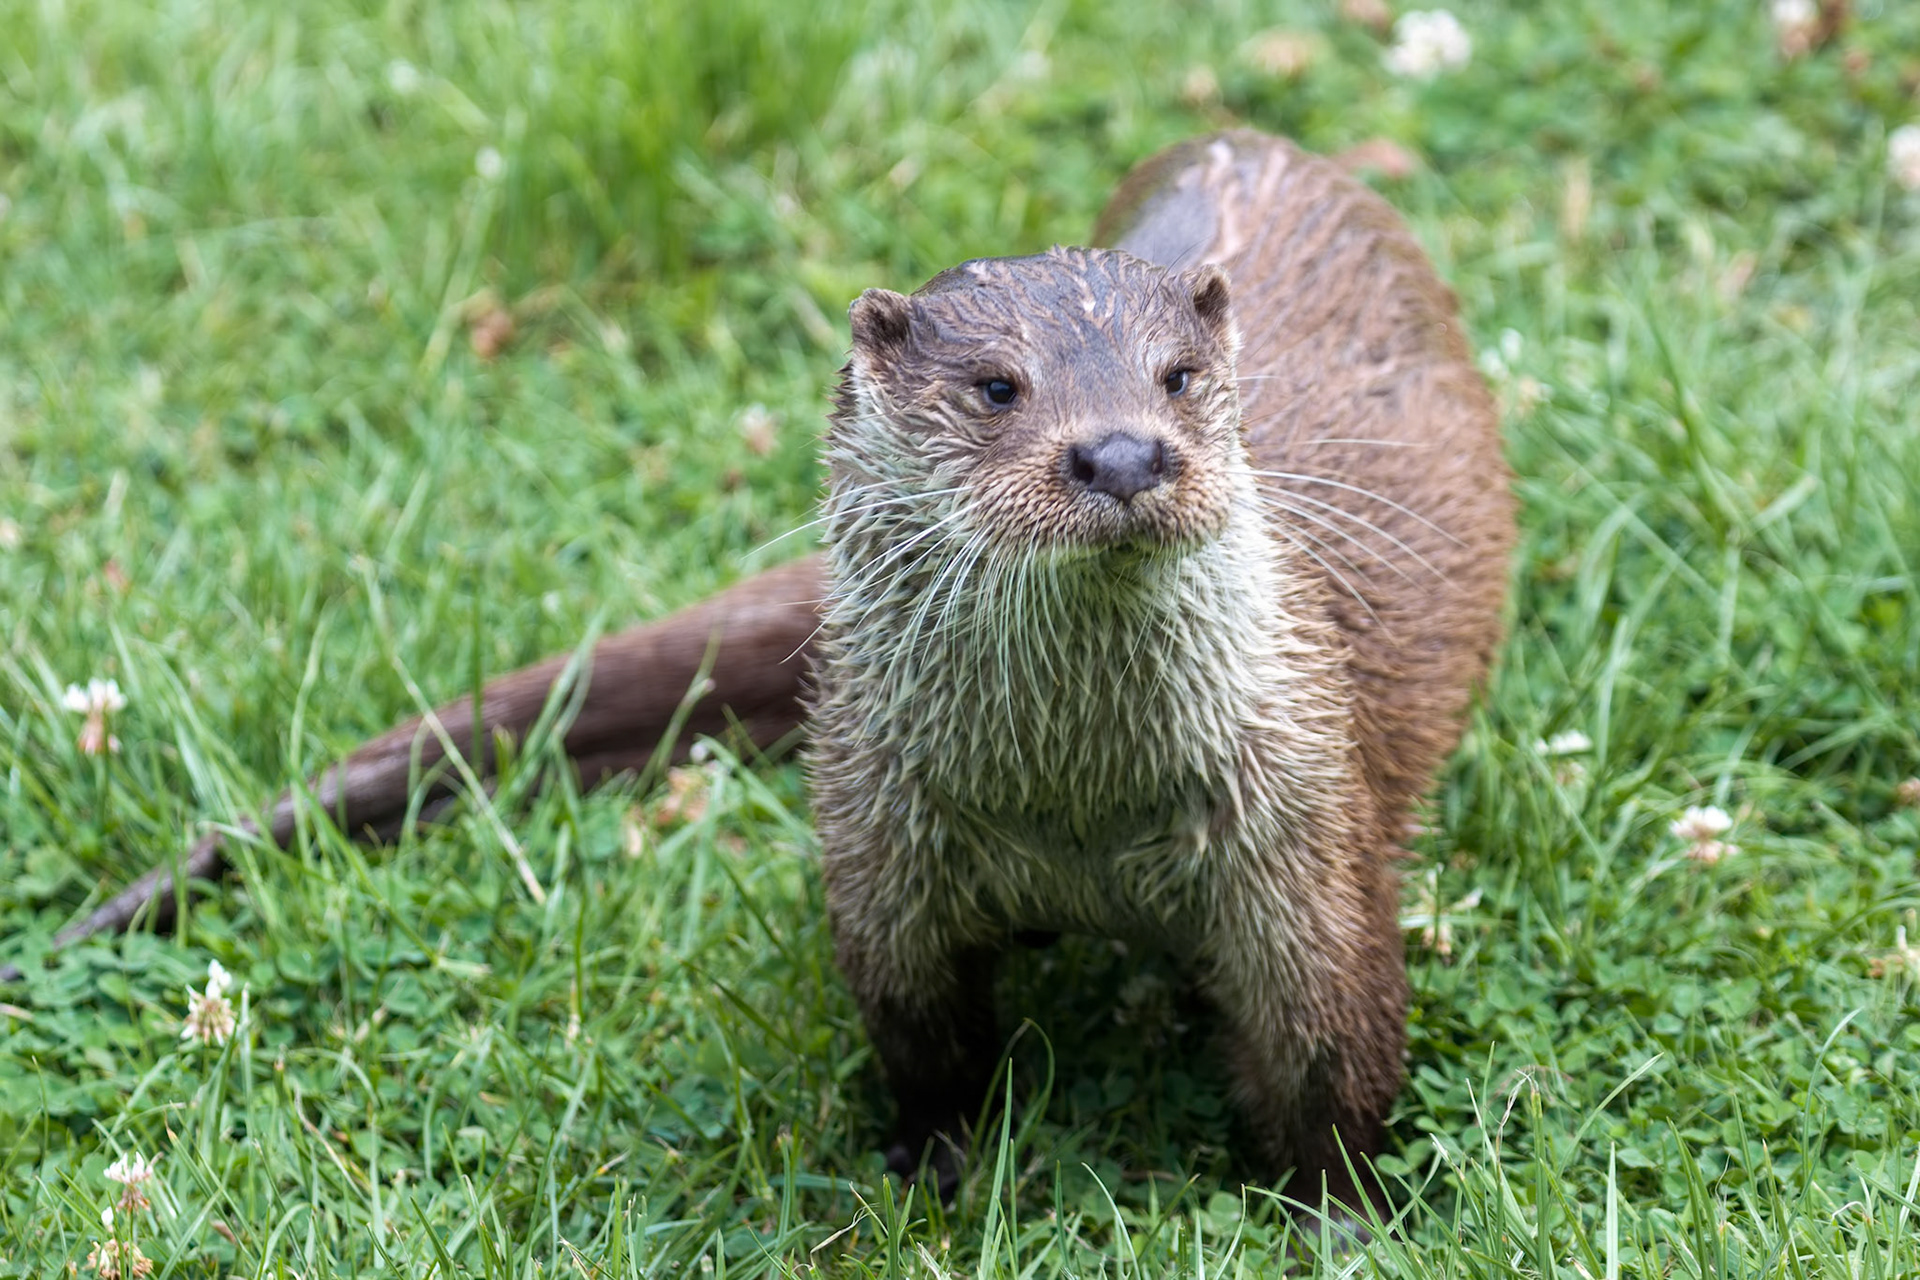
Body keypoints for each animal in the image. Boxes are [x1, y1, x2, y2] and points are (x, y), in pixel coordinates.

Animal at [2, 132, 1512, 1216]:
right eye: (998, 386)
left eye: (1180, 375)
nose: (1125, 452)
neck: (1077, 803)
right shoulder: (882, 851)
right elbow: (923, 1044)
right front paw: (936, 1166)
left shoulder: (1303, 841)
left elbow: (1332, 1058)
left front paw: (1338, 1217)